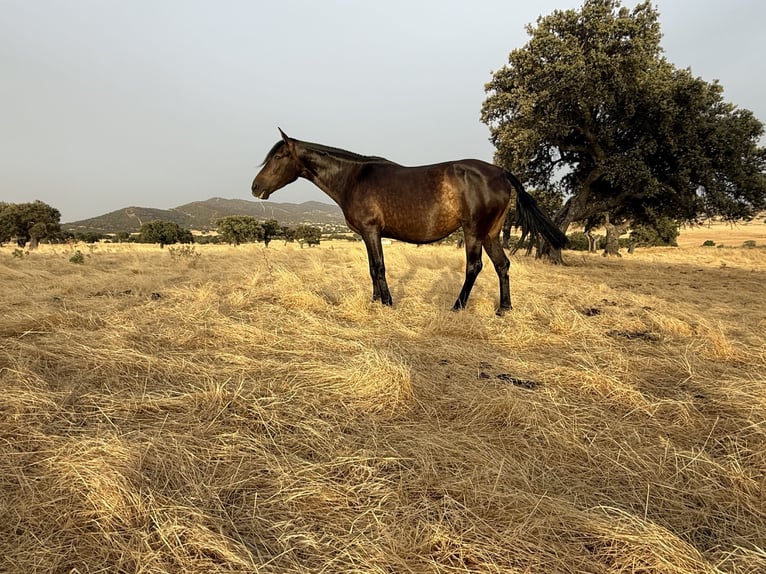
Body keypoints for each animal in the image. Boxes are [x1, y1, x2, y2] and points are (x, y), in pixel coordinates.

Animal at [251, 129, 567, 314]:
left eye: (279, 156)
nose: (255, 187)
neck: (353, 178)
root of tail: (500, 172)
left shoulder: (371, 231)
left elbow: (378, 267)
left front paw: (387, 303)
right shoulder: (367, 234)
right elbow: (371, 268)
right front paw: (375, 301)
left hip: (474, 231)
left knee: (474, 267)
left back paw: (457, 306)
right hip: (491, 233)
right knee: (502, 265)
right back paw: (504, 309)